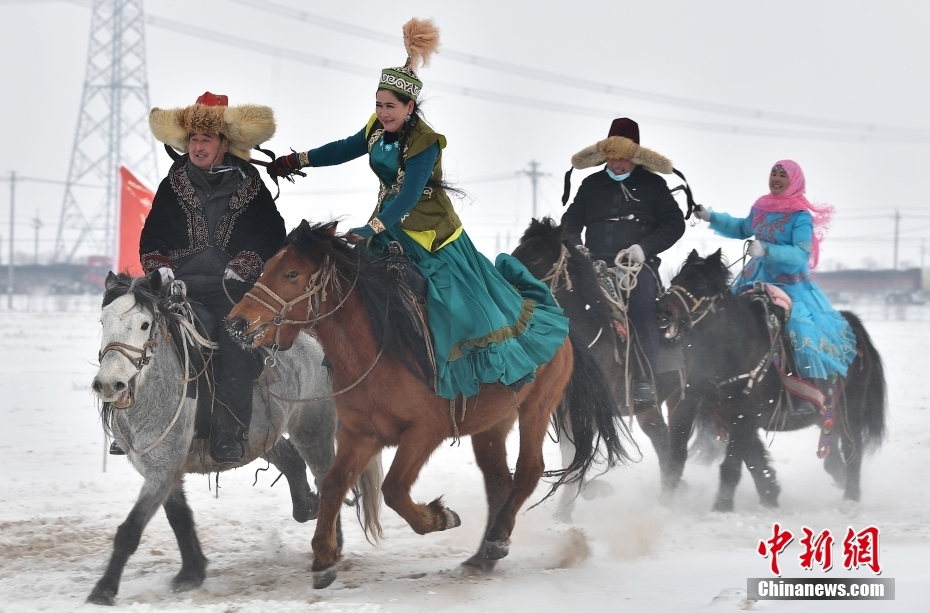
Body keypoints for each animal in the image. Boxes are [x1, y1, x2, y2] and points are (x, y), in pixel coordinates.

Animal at [89, 274, 382, 608]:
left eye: (144, 324)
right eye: (103, 321)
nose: (109, 384)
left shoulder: (162, 470)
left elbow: (130, 530)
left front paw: (104, 589)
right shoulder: (162, 470)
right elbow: (179, 518)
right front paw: (191, 572)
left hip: (312, 430)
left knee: (327, 480)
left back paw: (328, 551)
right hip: (263, 435)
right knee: (291, 460)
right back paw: (306, 507)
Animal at [227, 221, 628, 588]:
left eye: (292, 273)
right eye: (266, 267)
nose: (237, 323)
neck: (378, 350)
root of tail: (558, 317)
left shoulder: (424, 432)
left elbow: (392, 489)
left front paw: (440, 518)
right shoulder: (361, 435)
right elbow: (333, 484)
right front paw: (324, 558)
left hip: (537, 407)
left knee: (529, 470)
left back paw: (497, 539)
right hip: (491, 424)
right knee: (499, 482)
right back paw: (482, 556)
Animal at [508, 218, 680, 500]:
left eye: (534, 256)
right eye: (515, 250)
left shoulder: (589, 409)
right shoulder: (564, 410)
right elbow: (571, 457)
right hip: (648, 409)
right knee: (662, 440)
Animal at [652, 249, 884, 512]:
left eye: (701, 283)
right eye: (675, 280)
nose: (663, 311)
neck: (733, 346)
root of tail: (852, 325)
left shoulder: (743, 416)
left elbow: (732, 465)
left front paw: (722, 507)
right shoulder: (732, 416)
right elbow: (754, 459)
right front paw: (770, 496)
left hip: (851, 411)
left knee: (853, 450)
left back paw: (851, 499)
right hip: (827, 413)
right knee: (832, 448)